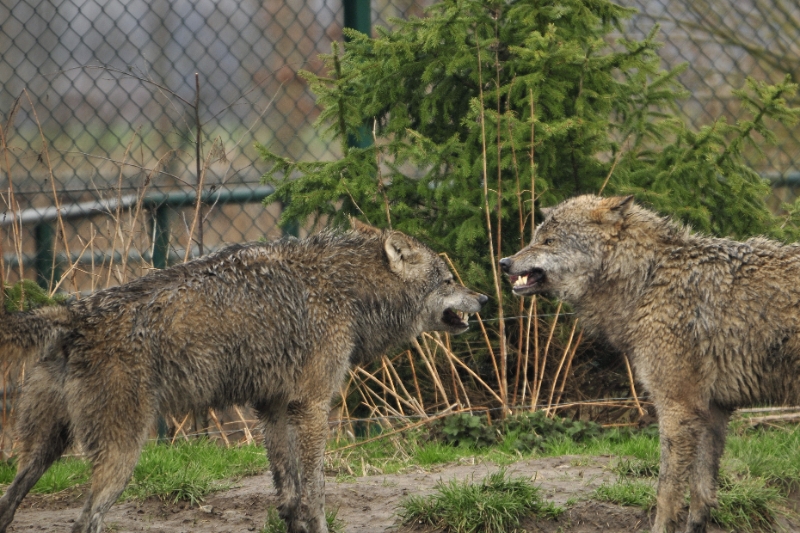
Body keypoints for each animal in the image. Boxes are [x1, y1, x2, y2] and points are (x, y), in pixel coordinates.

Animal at [0, 219, 488, 532]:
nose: (483, 297)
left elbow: (289, 495)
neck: (346, 290)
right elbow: (316, 492)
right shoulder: (312, 405)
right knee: (85, 520)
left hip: (44, 450)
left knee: (10, 503)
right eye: (449, 279)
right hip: (121, 456)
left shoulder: (272, 407)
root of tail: (75, 312)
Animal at [500, 193, 800, 528]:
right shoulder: (711, 410)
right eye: (535, 238)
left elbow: (666, 492)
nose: (504, 262)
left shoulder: (677, 407)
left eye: (549, 241)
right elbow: (700, 499)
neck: (648, 279)